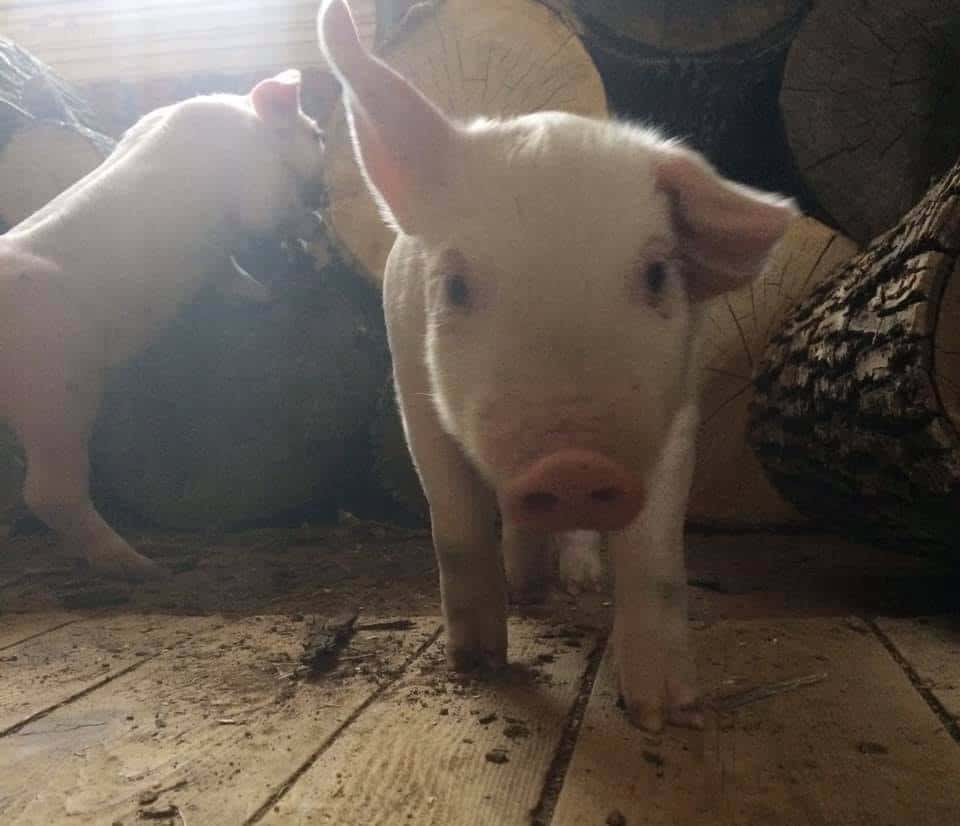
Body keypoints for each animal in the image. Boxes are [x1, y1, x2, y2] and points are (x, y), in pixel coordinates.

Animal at [0, 72, 325, 581]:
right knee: (48, 491)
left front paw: (265, 291)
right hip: (55, 387)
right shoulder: (258, 188)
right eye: (317, 134)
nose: (327, 193)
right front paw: (304, 245)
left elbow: (227, 271)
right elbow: (270, 220)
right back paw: (141, 566)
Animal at [318, 0, 797, 730]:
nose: (574, 465)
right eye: (455, 287)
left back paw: (572, 581)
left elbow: (655, 549)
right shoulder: (412, 394)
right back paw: (529, 590)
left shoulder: (677, 403)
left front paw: (663, 715)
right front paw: (478, 665)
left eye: (657, 275)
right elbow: (457, 526)